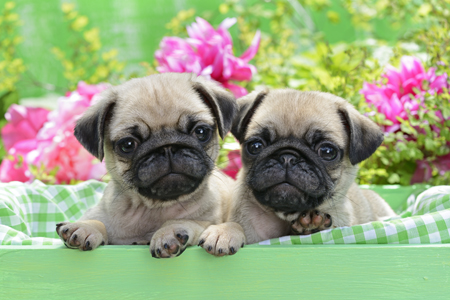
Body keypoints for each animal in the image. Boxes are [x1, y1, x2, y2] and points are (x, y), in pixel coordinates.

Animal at [55, 72, 237, 258]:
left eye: (200, 132)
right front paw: (86, 227)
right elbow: (99, 222)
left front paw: (169, 231)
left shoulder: (206, 221)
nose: (167, 148)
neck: (154, 207)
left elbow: (187, 221)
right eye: (128, 144)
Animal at [199, 89, 396, 255]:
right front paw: (224, 232)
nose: (288, 157)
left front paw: (311, 225)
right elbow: (234, 225)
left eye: (327, 151)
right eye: (255, 146)